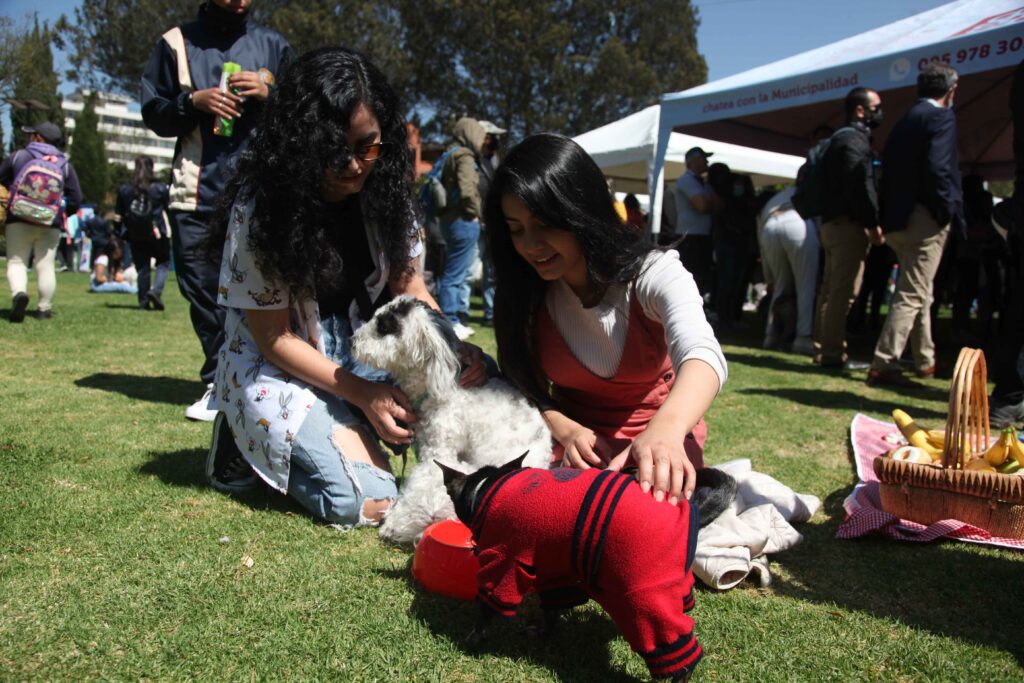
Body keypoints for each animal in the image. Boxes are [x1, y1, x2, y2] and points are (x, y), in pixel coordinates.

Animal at [436, 453, 738, 682]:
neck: (487, 488)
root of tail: (689, 510)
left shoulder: (504, 563)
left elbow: (487, 608)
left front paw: (474, 639)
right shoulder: (553, 571)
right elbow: (552, 610)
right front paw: (543, 632)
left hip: (642, 592)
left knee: (676, 648)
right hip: (671, 578)